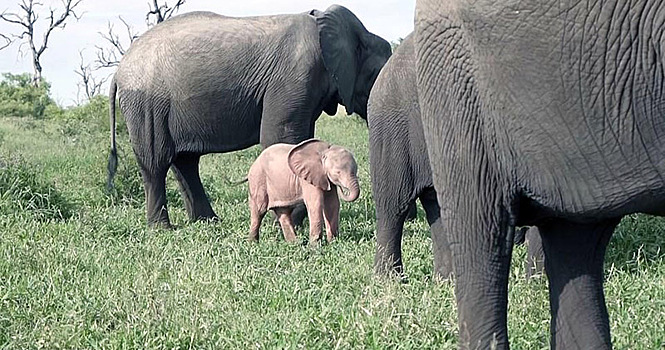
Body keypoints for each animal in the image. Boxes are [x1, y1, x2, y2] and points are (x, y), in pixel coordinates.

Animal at [106, 5, 392, 227]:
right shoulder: (295, 76)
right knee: (156, 162)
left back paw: (208, 223)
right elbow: (280, 136)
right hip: (148, 106)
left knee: (185, 162)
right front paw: (291, 220)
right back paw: (162, 229)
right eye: (376, 75)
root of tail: (118, 71)